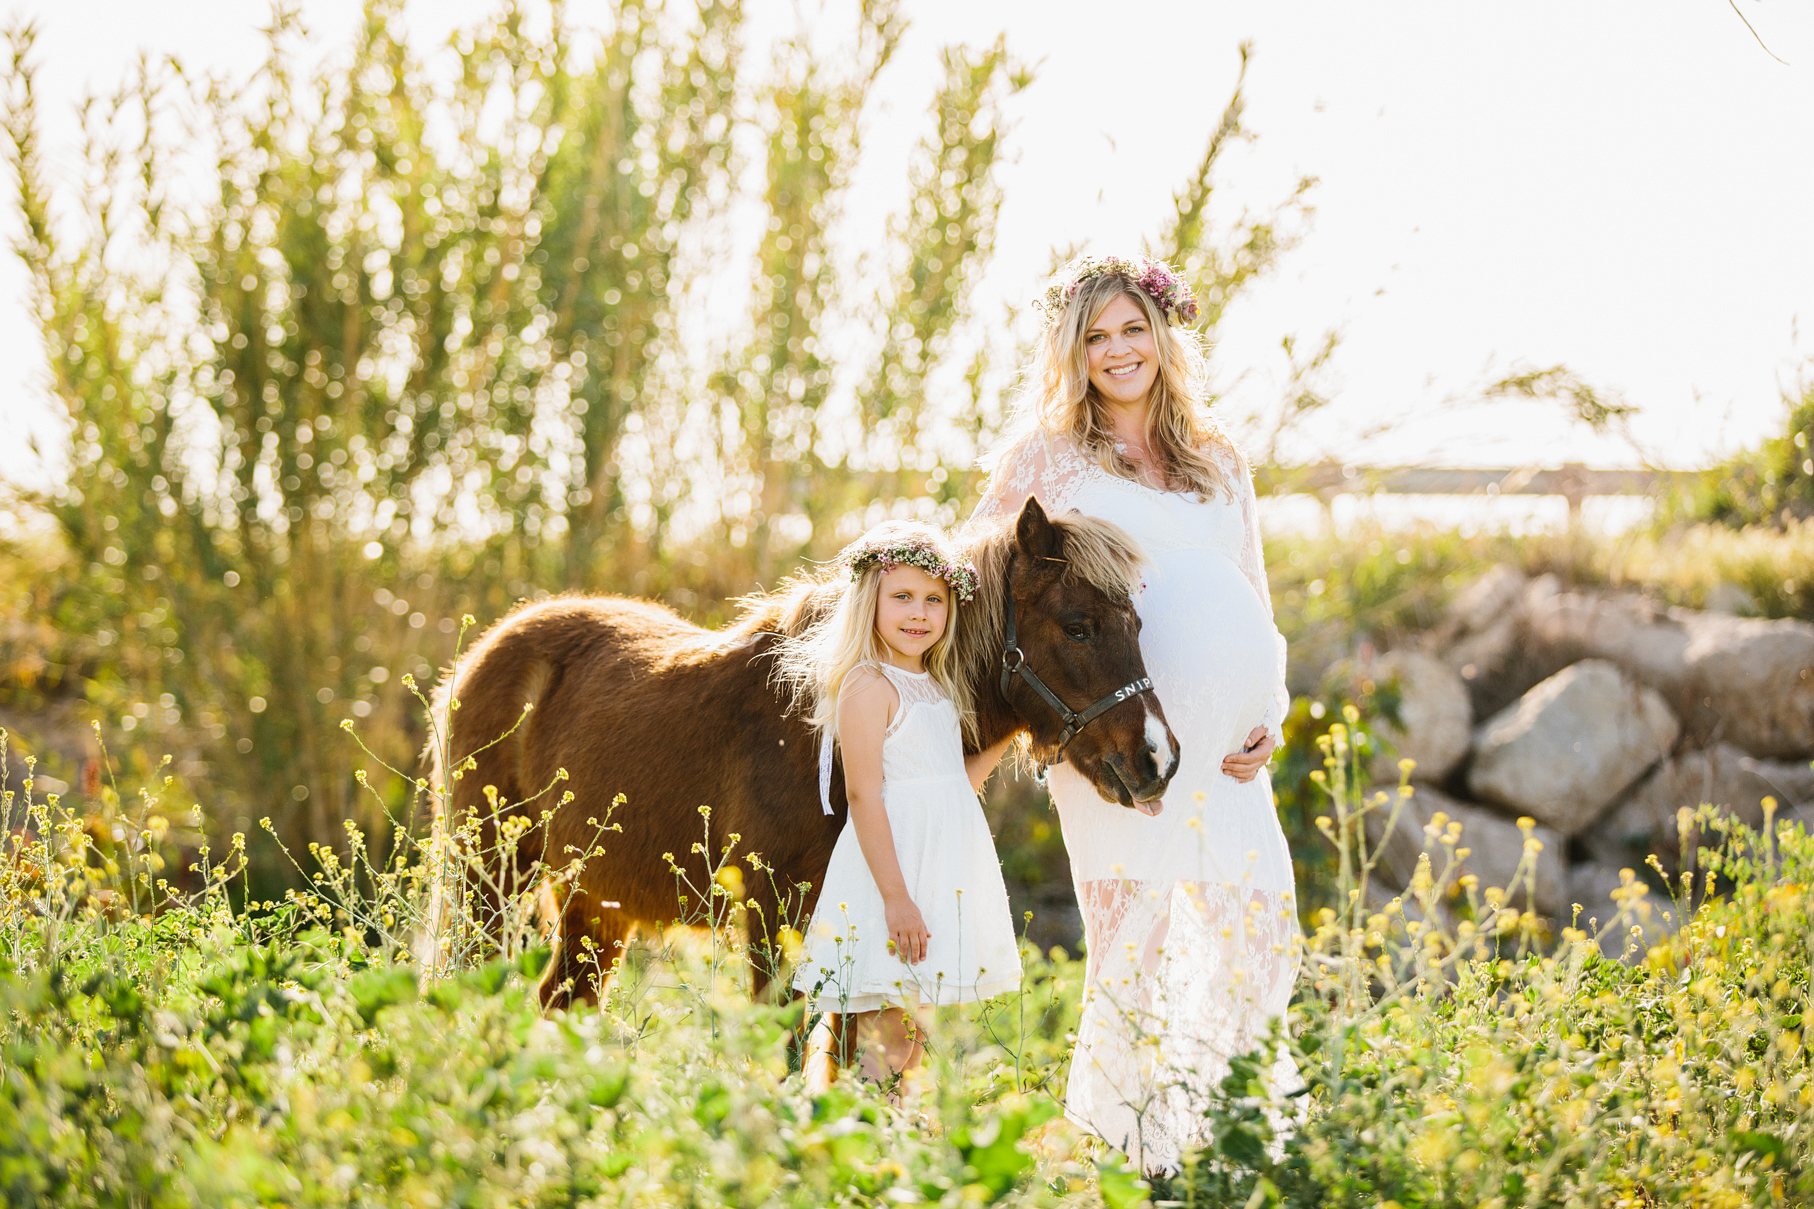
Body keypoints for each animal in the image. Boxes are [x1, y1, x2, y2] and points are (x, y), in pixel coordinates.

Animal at [431, 493, 1182, 1002]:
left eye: (1138, 624)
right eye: (1078, 626)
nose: (1159, 759)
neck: (820, 728)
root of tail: (487, 649)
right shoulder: (772, 915)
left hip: (594, 902)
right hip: (491, 882)